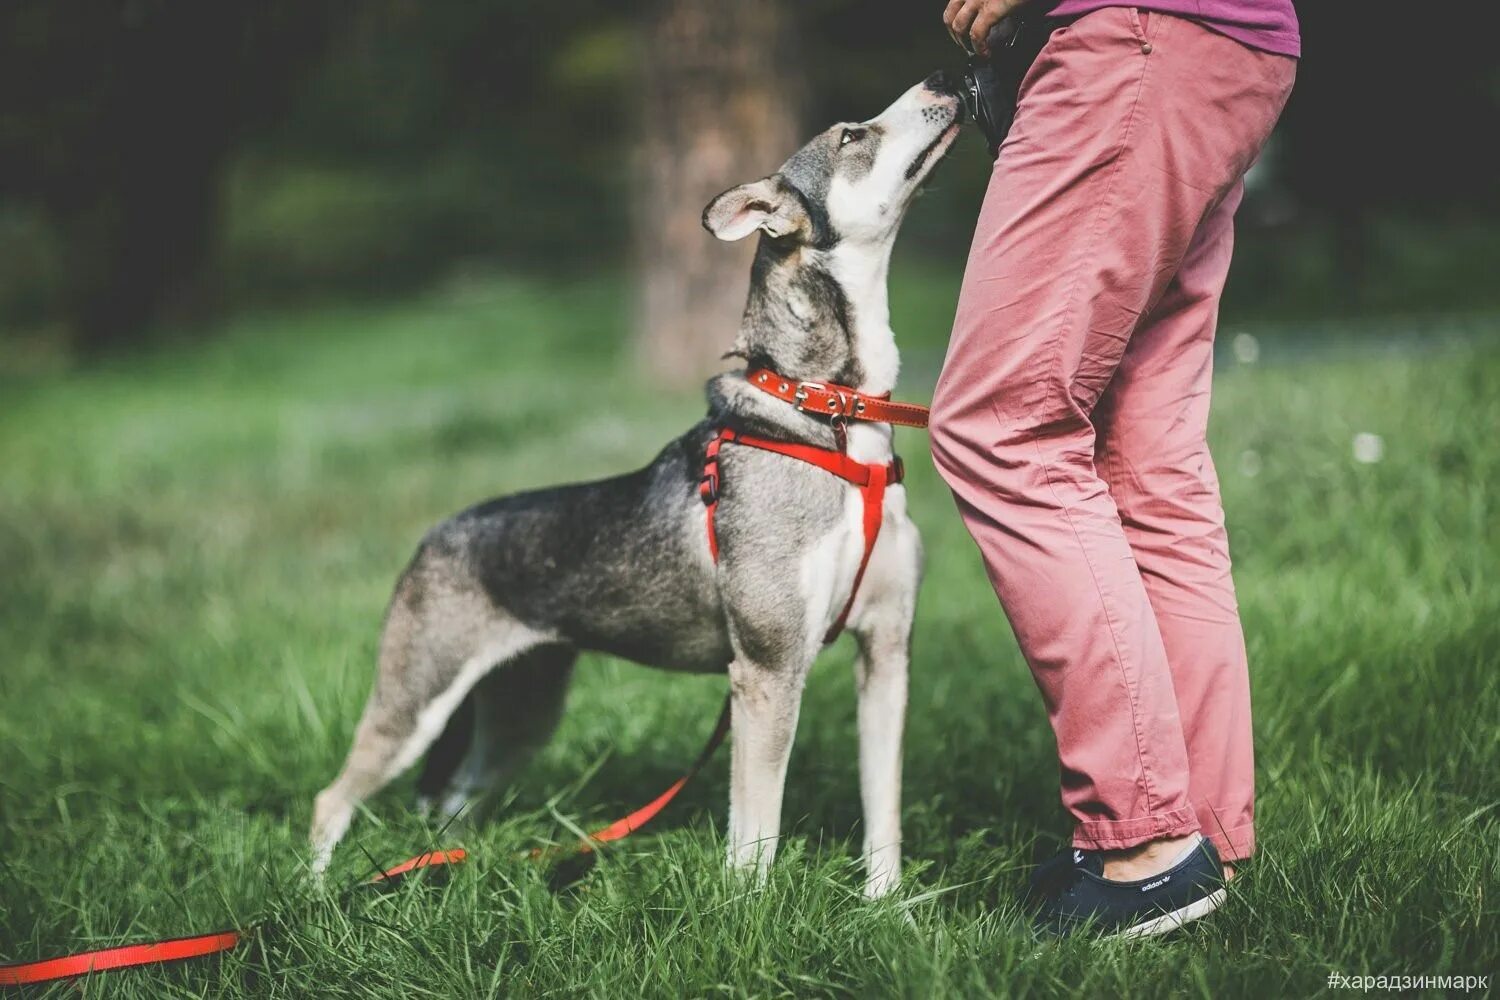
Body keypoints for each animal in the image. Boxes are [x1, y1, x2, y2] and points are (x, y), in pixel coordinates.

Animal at [312, 72, 966, 899]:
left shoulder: (886, 654)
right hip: (416, 698)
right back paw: (312, 893)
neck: (834, 418)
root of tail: (435, 534)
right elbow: (757, 831)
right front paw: (749, 910)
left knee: (454, 799)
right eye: (853, 135)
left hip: (522, 708)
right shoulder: (768, 670)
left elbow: (883, 816)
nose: (946, 78)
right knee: (333, 797)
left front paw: (887, 910)